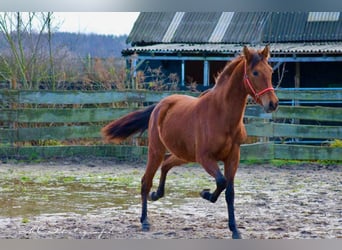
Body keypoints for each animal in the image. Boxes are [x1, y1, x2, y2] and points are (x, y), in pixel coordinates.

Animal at [101, 45, 278, 238]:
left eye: (270, 71)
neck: (221, 115)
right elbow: (221, 182)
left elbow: (229, 192)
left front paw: (235, 230)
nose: (273, 104)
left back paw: (157, 194)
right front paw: (205, 193)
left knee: (166, 164)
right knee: (146, 180)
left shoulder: (233, 157)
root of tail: (160, 105)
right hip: (156, 150)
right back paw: (145, 220)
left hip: (183, 155)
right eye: (255, 72)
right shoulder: (205, 158)